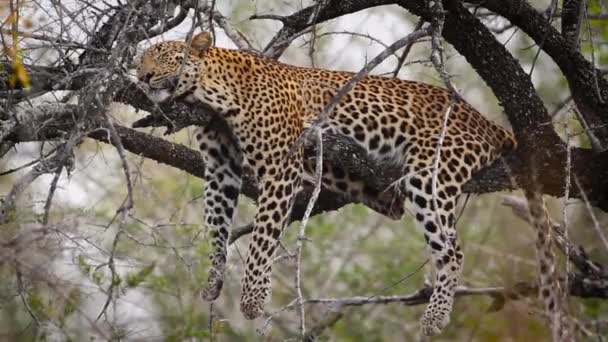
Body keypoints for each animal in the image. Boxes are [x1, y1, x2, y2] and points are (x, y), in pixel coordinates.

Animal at [137, 30, 516, 336]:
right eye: (142, 58)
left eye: (165, 56)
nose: (142, 76)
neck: (213, 95)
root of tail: (487, 122)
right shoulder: (220, 169)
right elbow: (216, 225)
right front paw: (213, 280)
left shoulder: (280, 166)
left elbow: (262, 238)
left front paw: (253, 300)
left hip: (430, 174)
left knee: (452, 251)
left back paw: (435, 317)